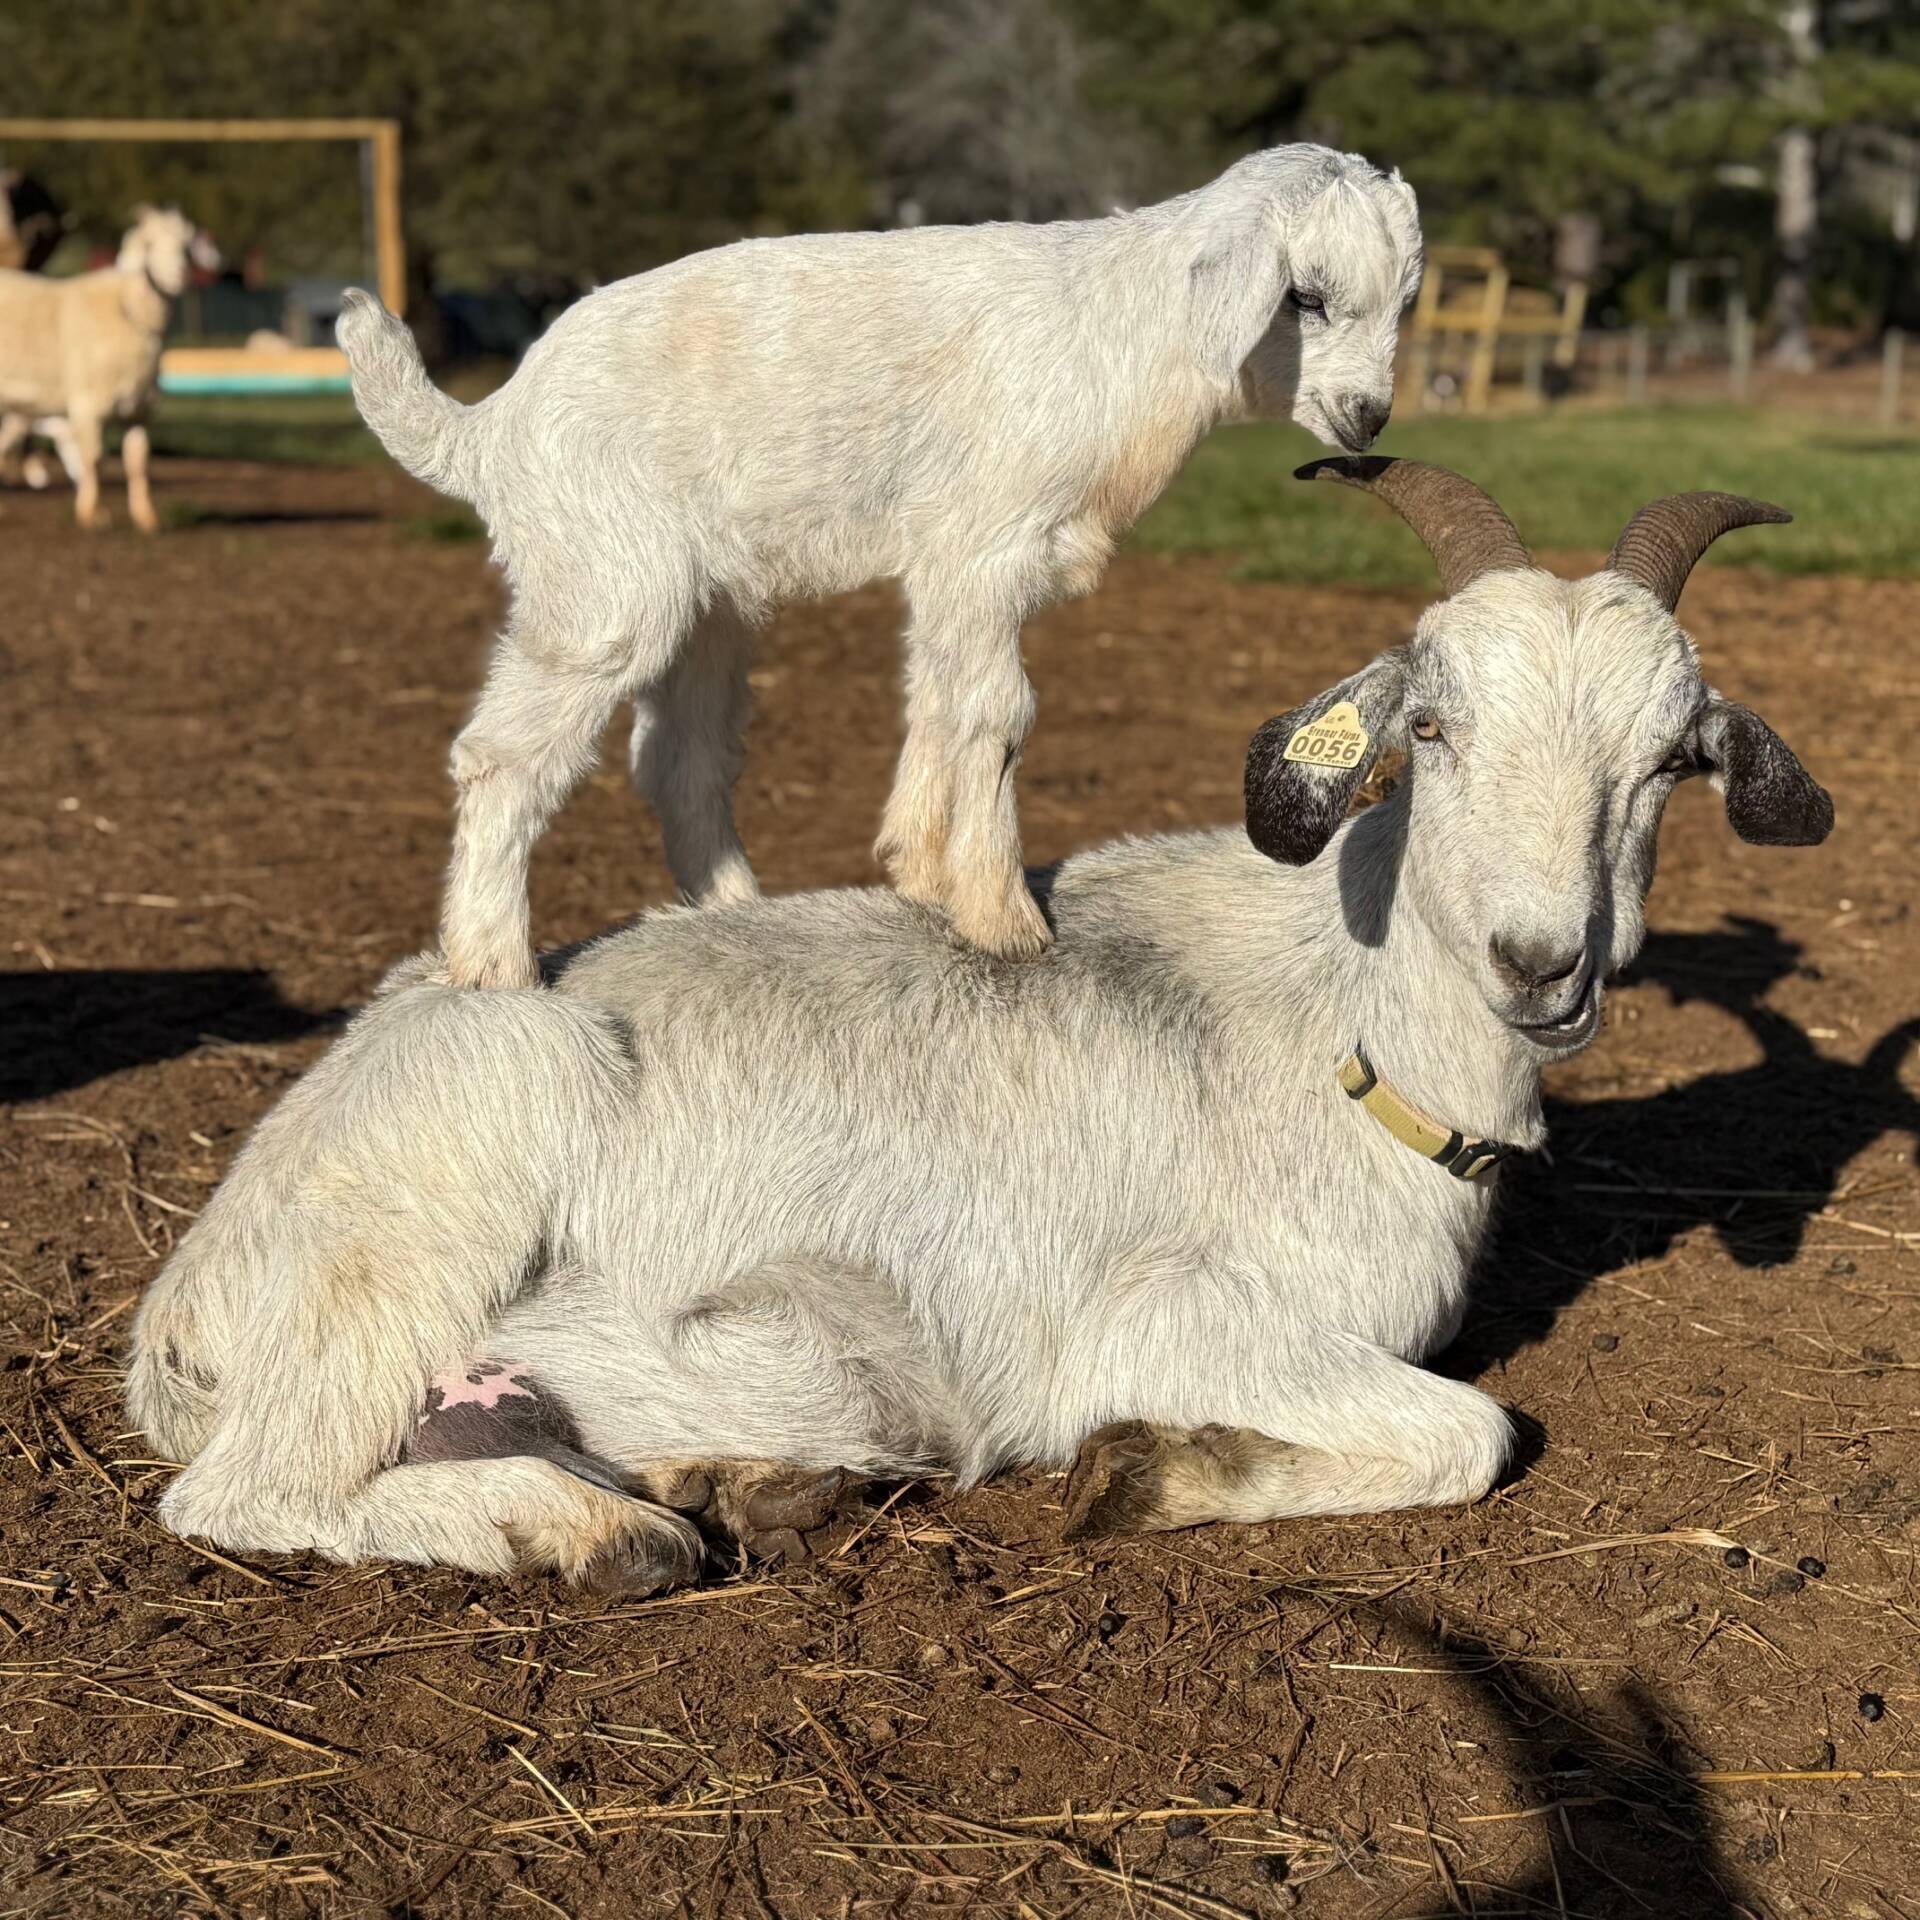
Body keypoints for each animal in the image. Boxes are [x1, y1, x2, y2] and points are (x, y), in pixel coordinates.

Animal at [0, 206, 217, 532]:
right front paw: (91, 515)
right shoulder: (87, 405)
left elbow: (138, 463)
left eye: (186, 248)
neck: (127, 309)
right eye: (150, 245)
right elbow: (94, 459)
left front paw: (147, 519)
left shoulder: (139, 412)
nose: (182, 275)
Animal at [129, 460, 1833, 1590]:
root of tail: (186, 1305)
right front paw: (1149, 1474)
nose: (1541, 962)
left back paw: (724, 1484)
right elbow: (1477, 1431)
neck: (1349, 1041)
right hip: (432, 1202)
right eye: (1430, 724)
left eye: (1673, 760)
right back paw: (600, 1530)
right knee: (244, 1494)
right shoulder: (1162, 1314)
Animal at [334, 145, 1423, 987]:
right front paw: (1003, 920)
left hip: (707, 609)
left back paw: (734, 914)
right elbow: (997, 712)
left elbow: (939, 699)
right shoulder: (985, 543)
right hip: (603, 578)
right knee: (503, 756)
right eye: (1305, 298)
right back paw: (493, 965)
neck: (1129, 336)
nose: (1368, 417)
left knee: (683, 761)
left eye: (1405, 305)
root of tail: (489, 426)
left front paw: (921, 870)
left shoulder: (956, 567)